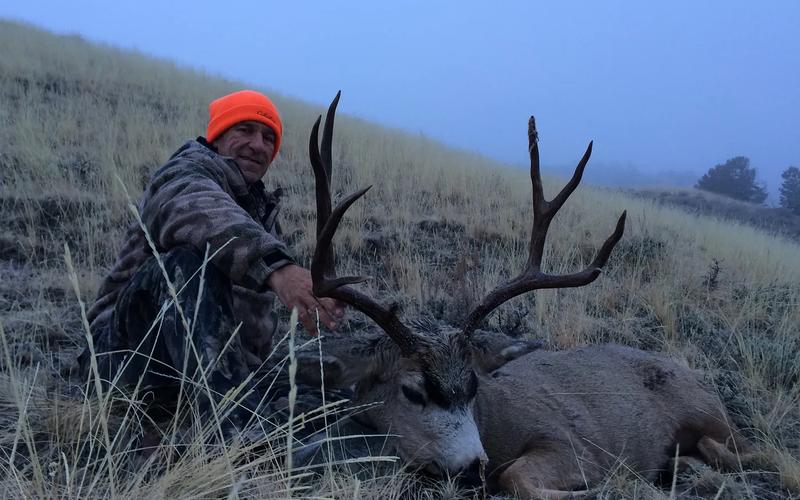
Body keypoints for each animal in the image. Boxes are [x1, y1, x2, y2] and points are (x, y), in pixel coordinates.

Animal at [296, 92, 754, 499]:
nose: (473, 466)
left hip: (709, 416)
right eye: (412, 391)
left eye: (473, 386)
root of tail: (699, 378)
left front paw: (595, 490)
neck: (492, 423)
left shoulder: (573, 445)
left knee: (752, 452)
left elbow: (516, 475)